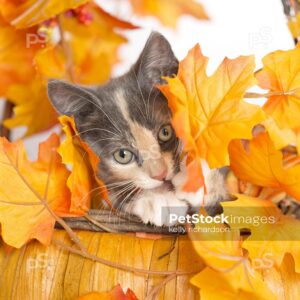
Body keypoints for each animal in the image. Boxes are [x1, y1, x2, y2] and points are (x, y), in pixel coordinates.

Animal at [48, 31, 229, 226]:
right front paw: (158, 200)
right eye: (122, 155)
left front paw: (196, 180)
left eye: (165, 132)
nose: (160, 175)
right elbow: (115, 194)